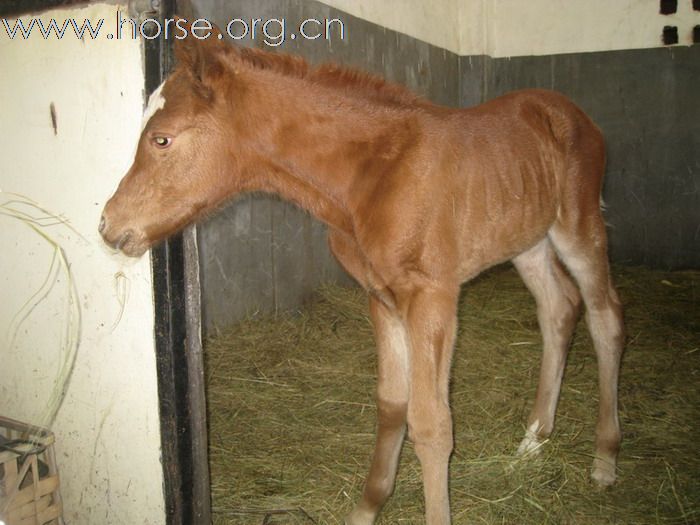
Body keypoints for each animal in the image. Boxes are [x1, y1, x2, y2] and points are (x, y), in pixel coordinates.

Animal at [98, 30, 624, 520]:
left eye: (162, 139)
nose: (108, 225)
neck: (371, 175)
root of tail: (572, 114)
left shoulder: (433, 297)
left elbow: (432, 424)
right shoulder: (381, 297)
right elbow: (392, 404)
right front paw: (368, 507)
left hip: (579, 228)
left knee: (606, 317)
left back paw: (604, 460)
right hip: (527, 241)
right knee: (559, 309)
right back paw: (533, 441)